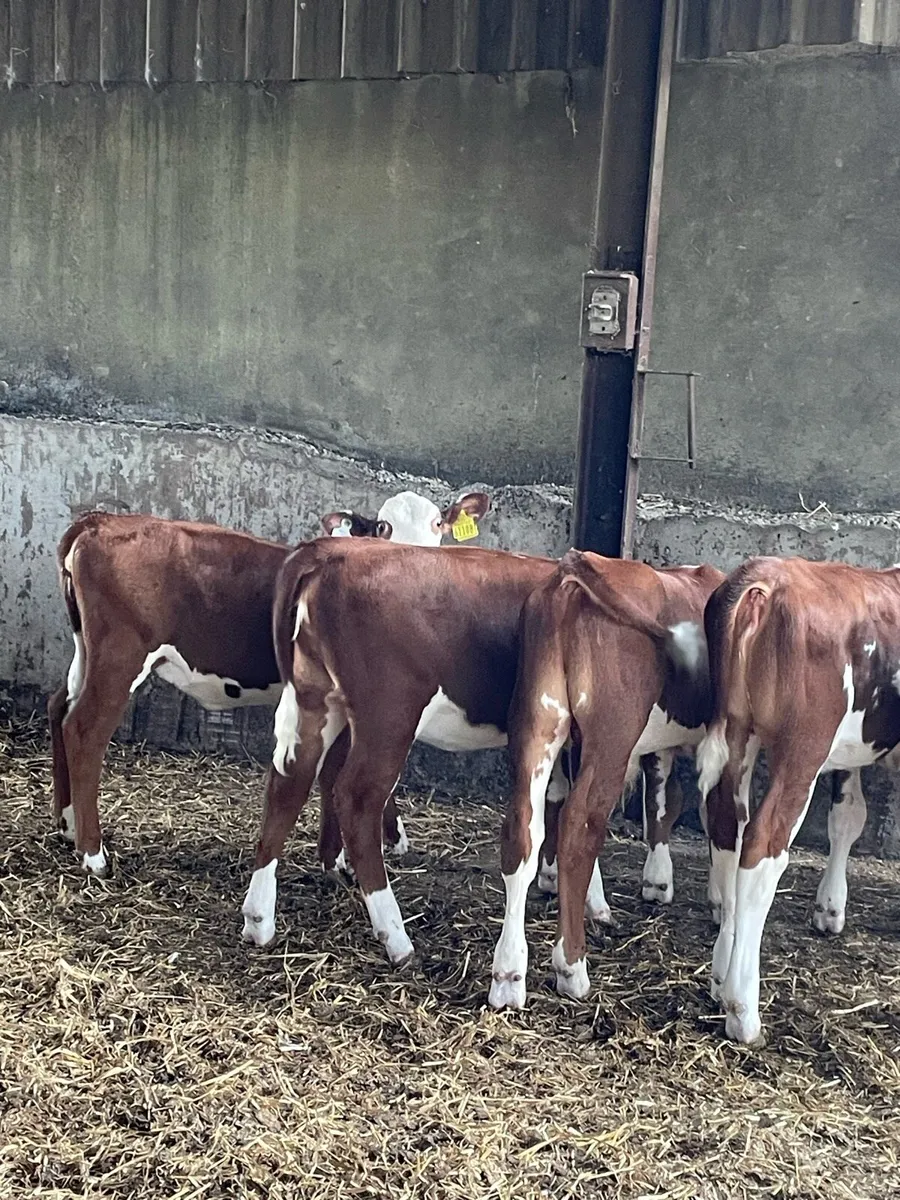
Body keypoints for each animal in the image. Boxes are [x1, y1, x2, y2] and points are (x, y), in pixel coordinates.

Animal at [49, 490, 488, 877]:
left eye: (438, 524)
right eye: (384, 526)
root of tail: (100, 521)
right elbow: (338, 773)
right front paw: (340, 859)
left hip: (86, 650)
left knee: (59, 708)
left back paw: (67, 824)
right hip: (120, 656)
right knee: (85, 730)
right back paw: (93, 853)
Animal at [240, 539, 698, 958]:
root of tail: (329, 550)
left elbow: (556, 801)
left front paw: (556, 880)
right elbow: (577, 813)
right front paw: (593, 901)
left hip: (313, 698)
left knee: (288, 782)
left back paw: (259, 918)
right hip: (388, 714)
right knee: (357, 797)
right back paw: (396, 936)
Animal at [488, 549, 723, 1010]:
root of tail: (575, 568)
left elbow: (662, 801)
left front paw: (657, 880)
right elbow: (704, 813)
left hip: (537, 721)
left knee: (522, 830)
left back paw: (508, 974)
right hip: (611, 735)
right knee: (581, 826)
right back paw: (571, 967)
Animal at [696, 555, 900, 1046]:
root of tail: (762, 579)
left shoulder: (850, 753)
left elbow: (848, 816)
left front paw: (830, 908)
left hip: (739, 734)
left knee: (727, 829)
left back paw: (719, 978)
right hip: (803, 748)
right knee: (762, 847)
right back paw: (743, 1011)